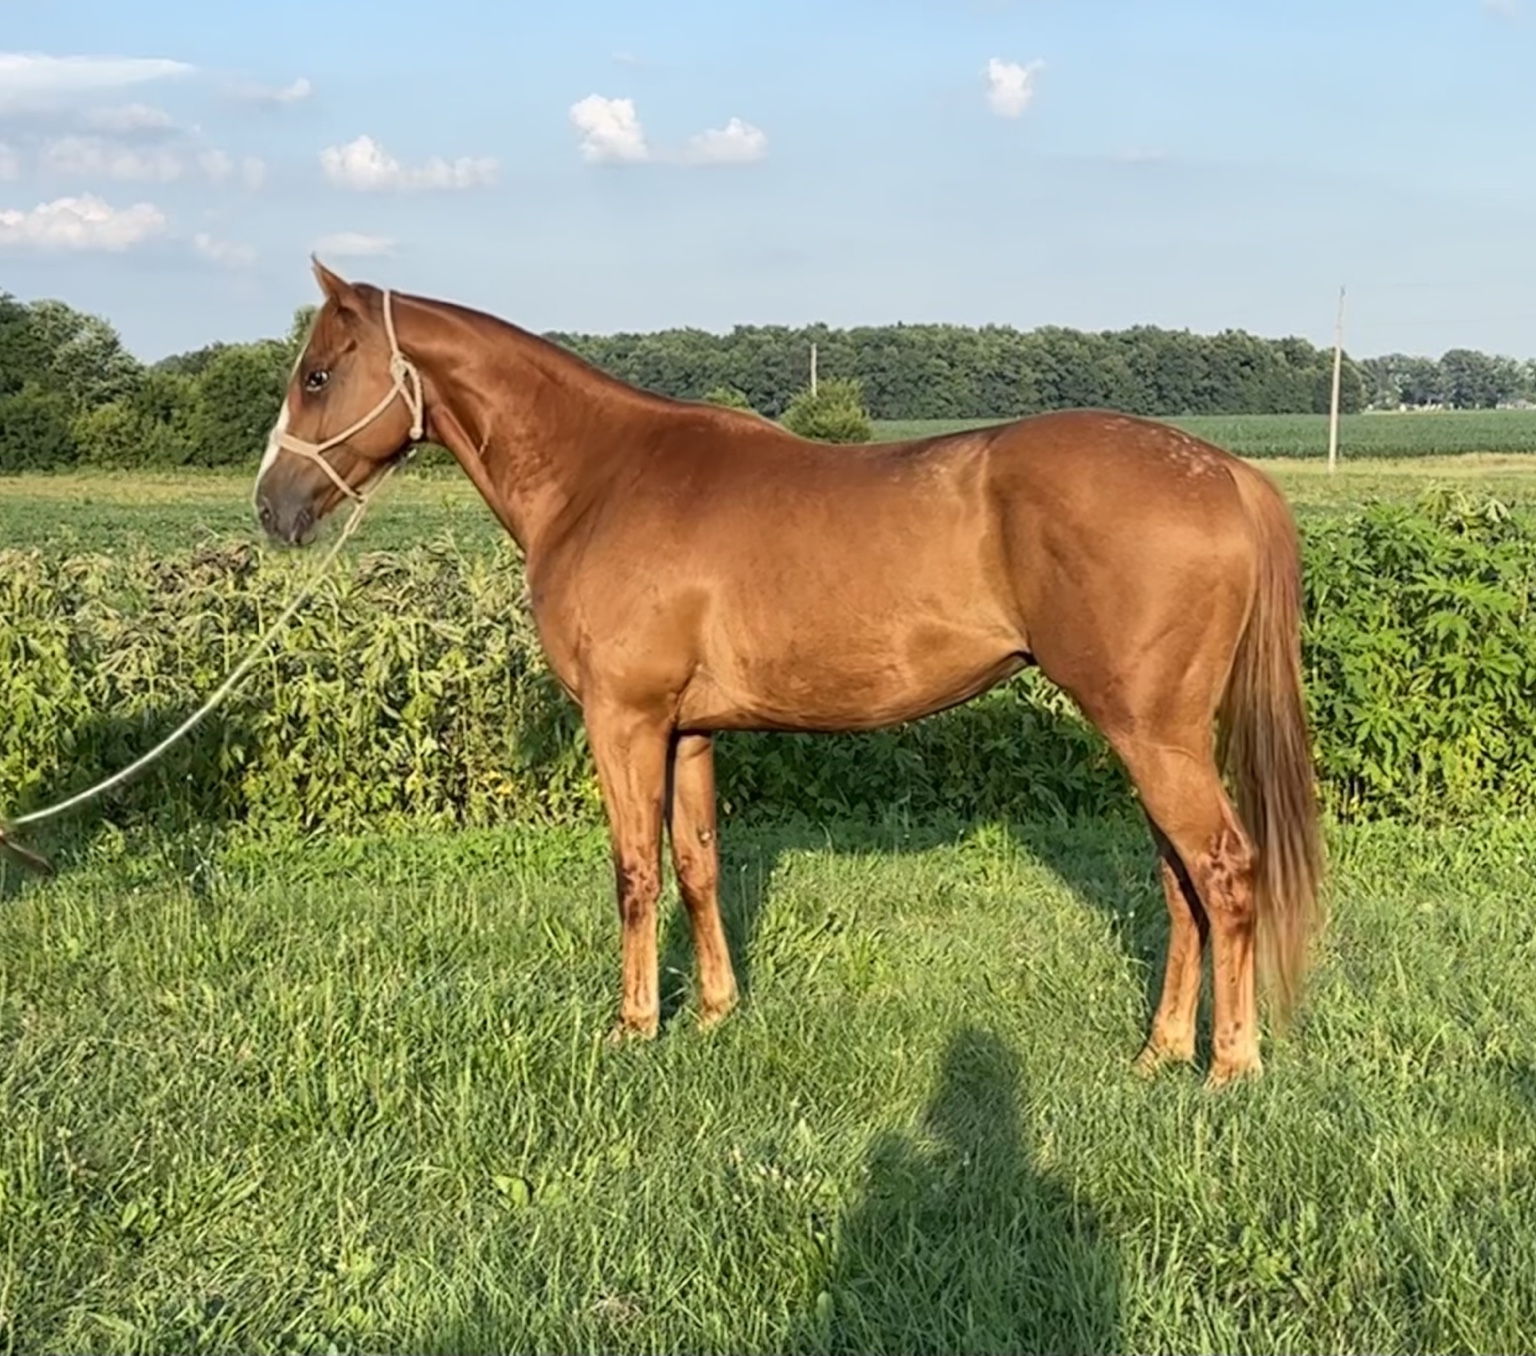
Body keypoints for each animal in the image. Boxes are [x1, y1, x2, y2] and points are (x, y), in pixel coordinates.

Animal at [254, 259, 1324, 1087]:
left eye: (317, 375)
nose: (272, 506)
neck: (602, 478)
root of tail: (1225, 473)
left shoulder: (624, 720)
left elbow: (635, 870)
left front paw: (634, 1027)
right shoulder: (687, 731)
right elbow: (697, 864)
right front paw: (714, 1012)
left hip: (1152, 735)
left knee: (1223, 872)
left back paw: (1229, 1066)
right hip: (1155, 735)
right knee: (1179, 881)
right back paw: (1159, 1054)